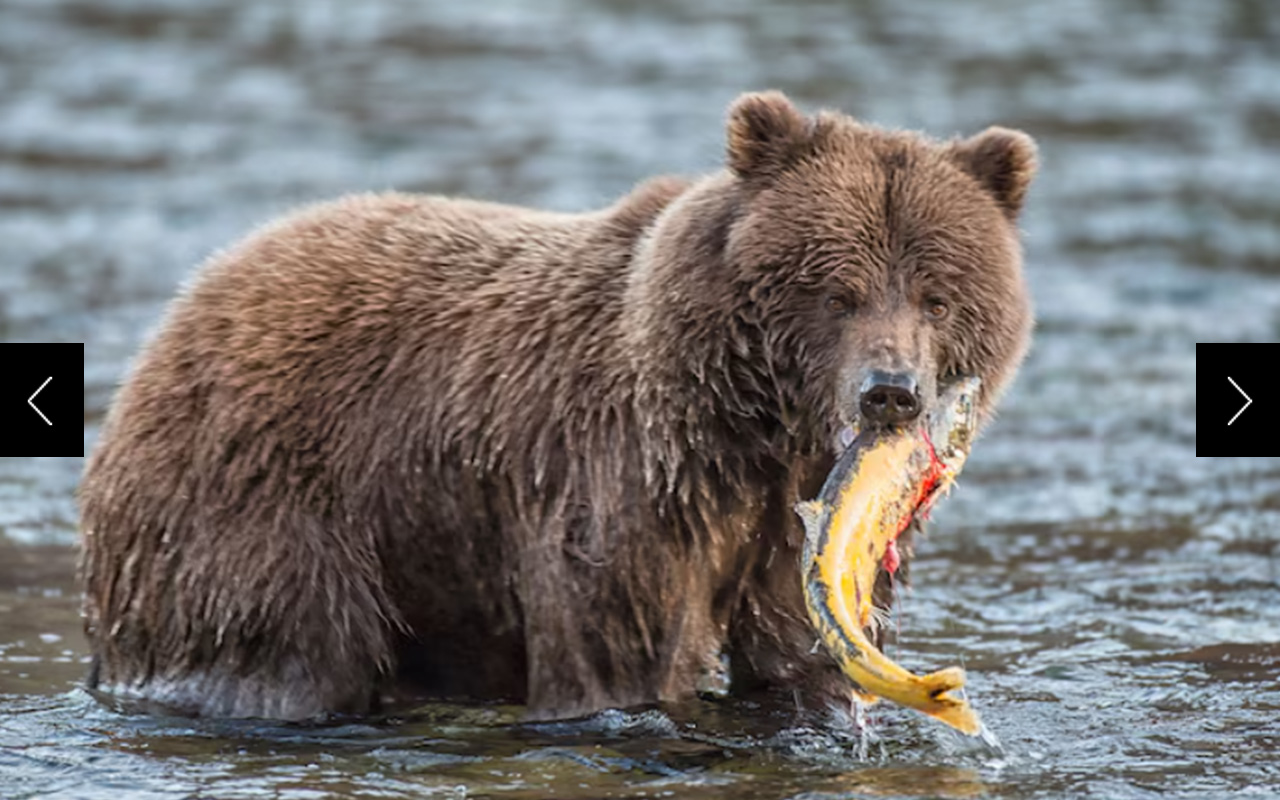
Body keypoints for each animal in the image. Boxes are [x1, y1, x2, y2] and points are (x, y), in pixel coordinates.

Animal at [80, 90, 1034, 721]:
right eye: (836, 290)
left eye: (938, 296)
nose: (890, 392)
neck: (739, 435)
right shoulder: (610, 477)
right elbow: (619, 649)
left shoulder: (780, 528)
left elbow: (801, 643)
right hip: (263, 498)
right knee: (289, 640)